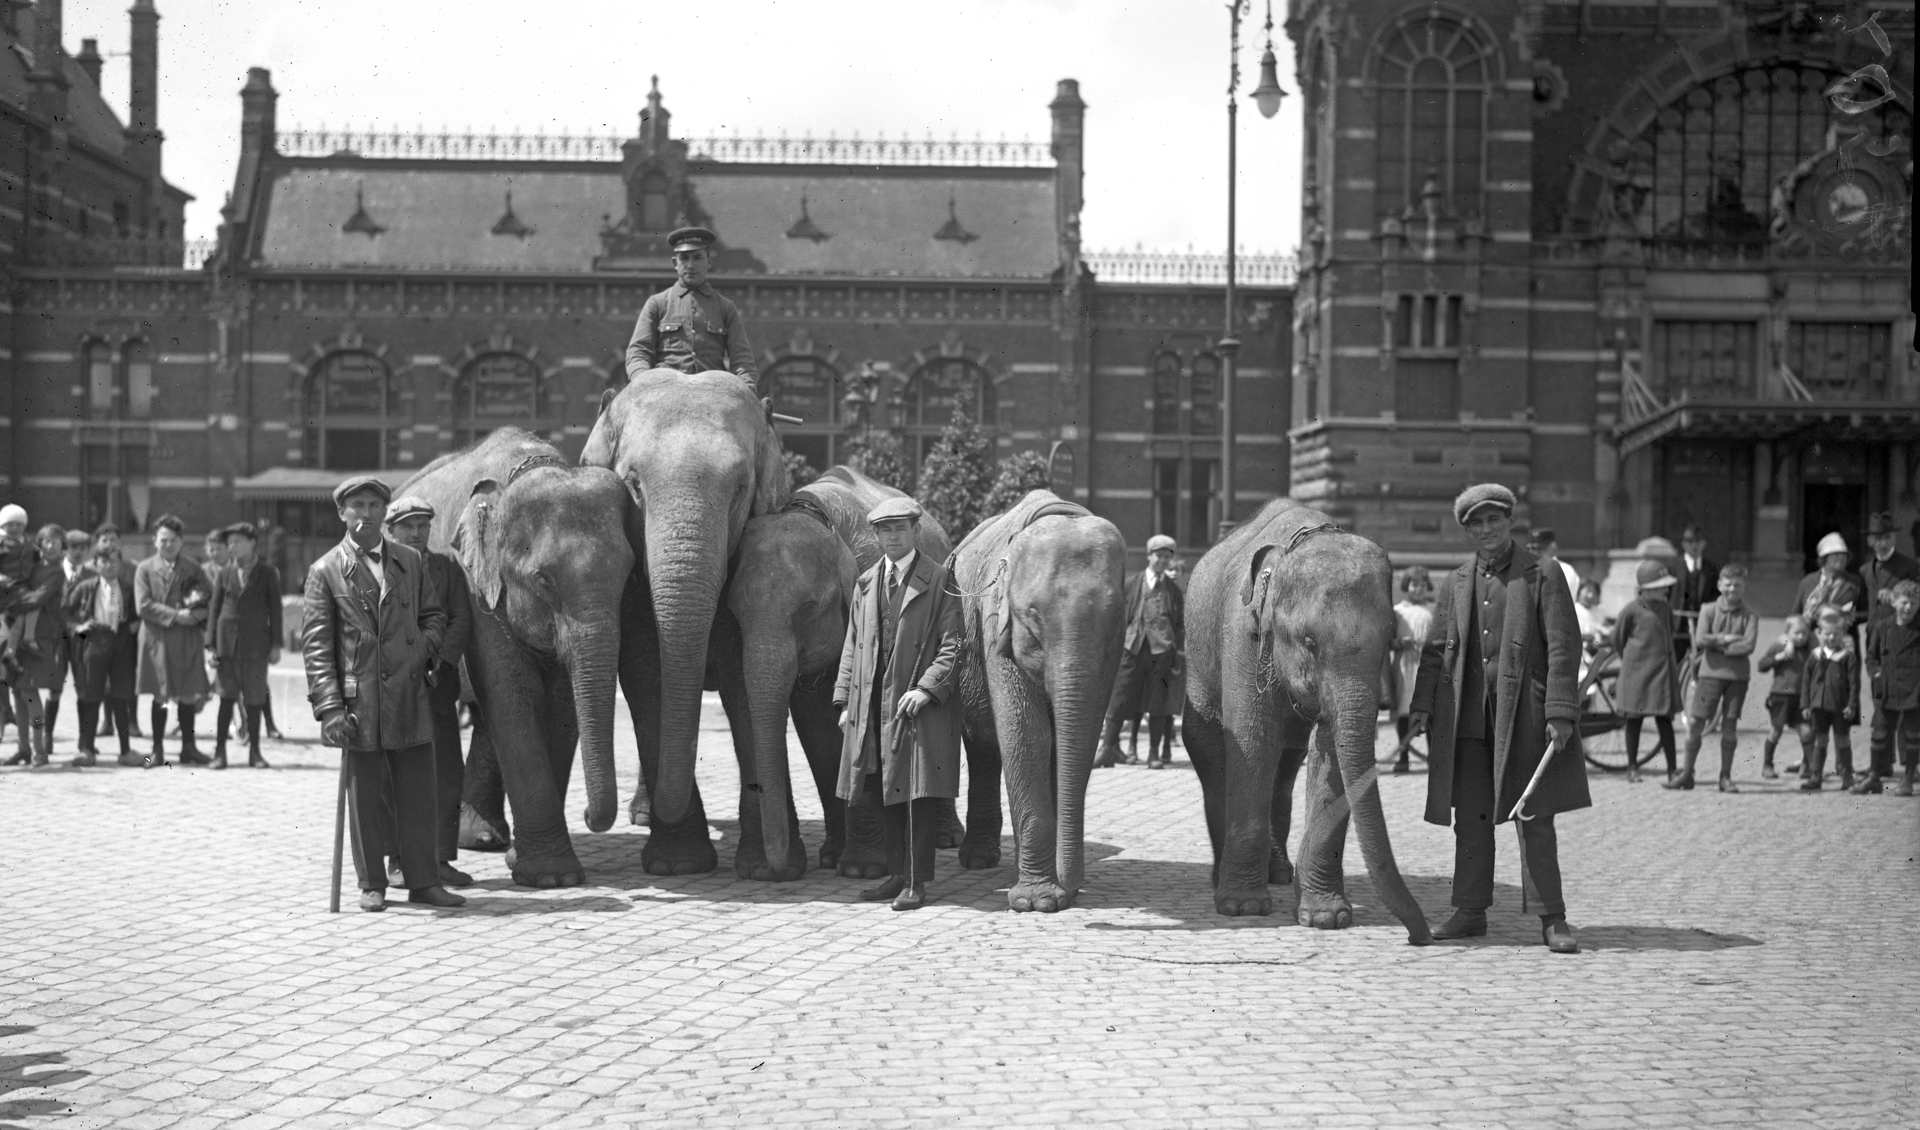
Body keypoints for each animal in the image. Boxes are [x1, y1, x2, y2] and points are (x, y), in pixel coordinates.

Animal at [397, 427, 637, 886]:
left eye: (630, 575)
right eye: (543, 580)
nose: (587, 814)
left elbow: (560, 703)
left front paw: (539, 869)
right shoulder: (474, 584)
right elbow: (512, 690)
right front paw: (550, 878)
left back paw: (485, 840)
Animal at [583, 366, 794, 878]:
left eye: (740, 488)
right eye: (634, 485)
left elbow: (744, 680)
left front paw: (762, 869)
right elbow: (646, 676)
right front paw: (677, 865)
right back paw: (644, 814)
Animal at [948, 489, 1121, 913]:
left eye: (1114, 617)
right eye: (1031, 615)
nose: (1075, 885)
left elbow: (1075, 741)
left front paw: (1058, 894)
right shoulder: (995, 625)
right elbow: (1029, 736)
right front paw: (1036, 902)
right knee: (981, 743)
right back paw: (978, 860)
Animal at [1175, 494, 1436, 943]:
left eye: (1389, 640)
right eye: (1309, 641)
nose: (1422, 936)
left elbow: (1330, 750)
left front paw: (1326, 918)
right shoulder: (1241, 634)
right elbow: (1253, 740)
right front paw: (1242, 908)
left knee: (1286, 768)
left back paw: (1279, 872)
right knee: (1212, 752)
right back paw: (1223, 877)